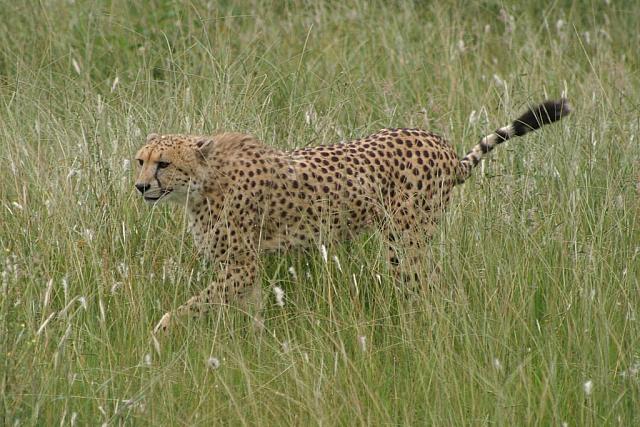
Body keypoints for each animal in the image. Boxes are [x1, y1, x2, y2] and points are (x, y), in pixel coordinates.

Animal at [134, 99, 571, 334]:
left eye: (164, 163)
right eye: (141, 161)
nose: (139, 187)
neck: (203, 182)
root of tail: (442, 145)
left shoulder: (241, 265)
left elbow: (193, 305)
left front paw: (160, 332)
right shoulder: (245, 269)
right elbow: (247, 310)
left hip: (404, 241)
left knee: (428, 287)